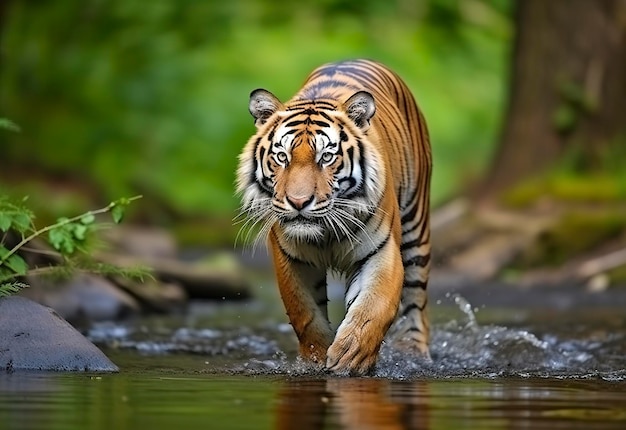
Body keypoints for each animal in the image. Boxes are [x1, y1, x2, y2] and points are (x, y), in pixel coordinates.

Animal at [234, 58, 428, 374]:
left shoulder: (381, 251)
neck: (325, 233)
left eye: (326, 157)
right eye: (282, 157)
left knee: (416, 302)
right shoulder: (291, 259)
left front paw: (352, 356)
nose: (298, 202)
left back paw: (413, 353)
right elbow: (305, 313)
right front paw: (315, 359)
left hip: (416, 231)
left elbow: (373, 307)